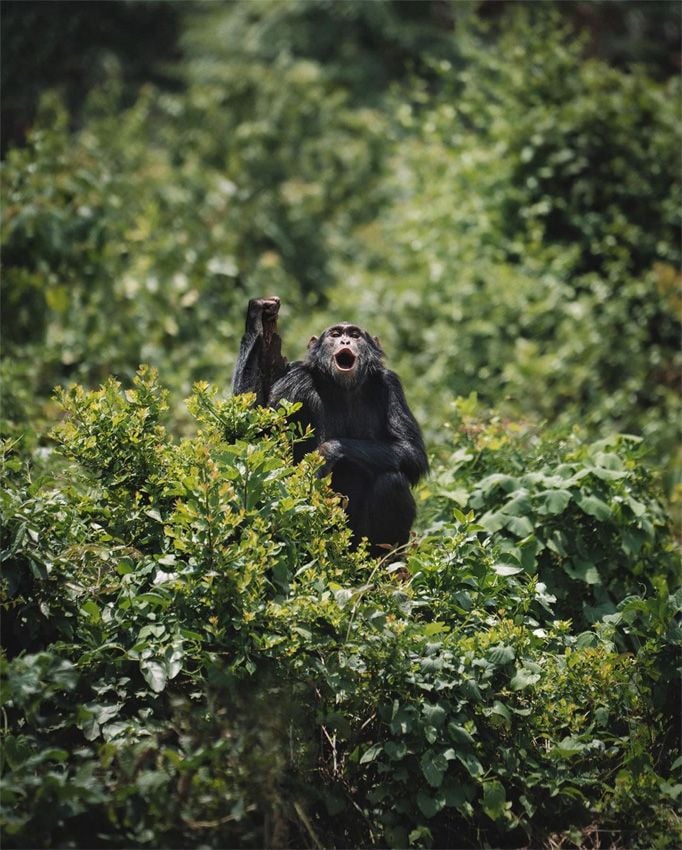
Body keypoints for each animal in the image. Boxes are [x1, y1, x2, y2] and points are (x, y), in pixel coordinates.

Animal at [232, 294, 424, 552]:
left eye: (355, 334)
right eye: (334, 334)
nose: (344, 340)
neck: (342, 387)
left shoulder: (391, 384)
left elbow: (411, 451)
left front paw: (326, 452)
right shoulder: (293, 383)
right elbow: (255, 440)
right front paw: (258, 316)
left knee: (392, 481)